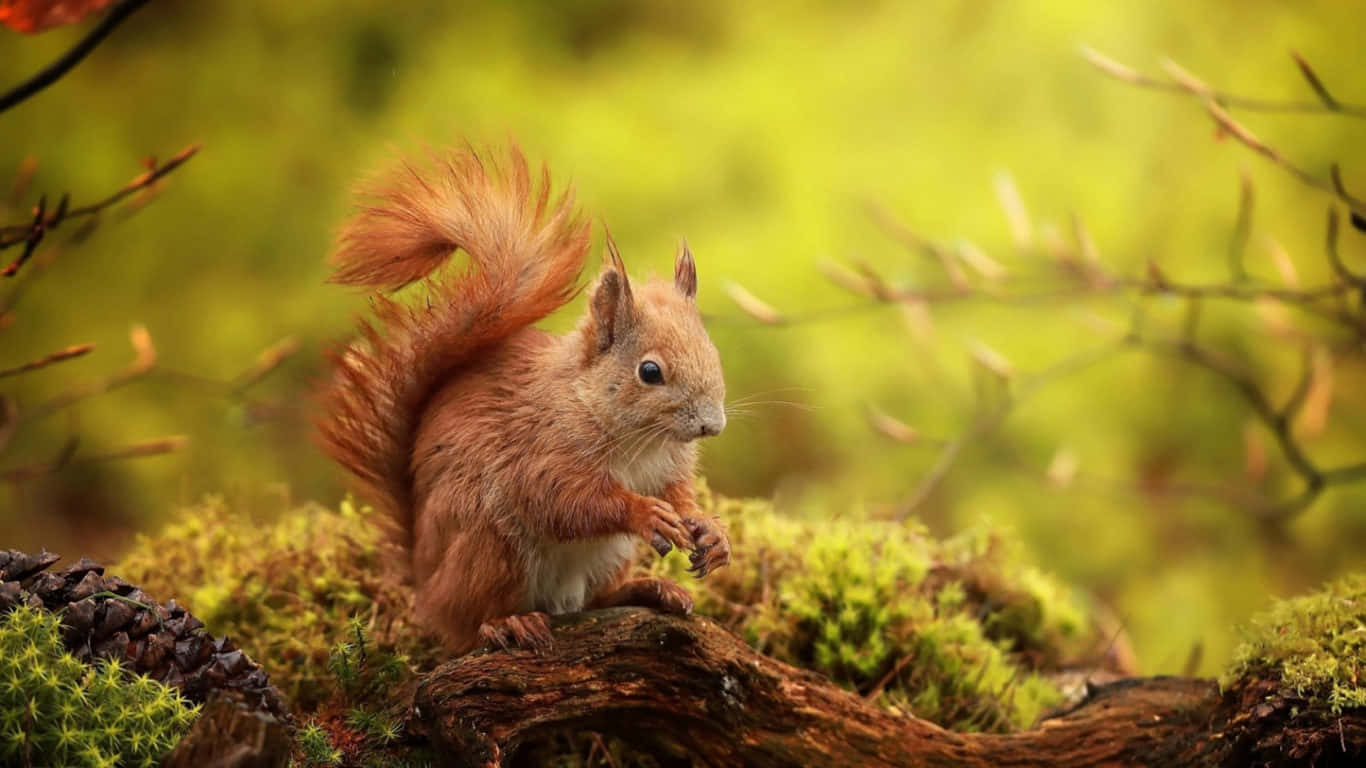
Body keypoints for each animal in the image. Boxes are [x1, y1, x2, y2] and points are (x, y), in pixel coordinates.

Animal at [315, 144, 732, 650]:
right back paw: (507, 623)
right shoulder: (541, 450)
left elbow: (680, 495)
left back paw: (650, 589)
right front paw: (644, 512)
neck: (634, 436)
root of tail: (423, 580)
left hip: (608, 557)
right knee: (470, 623)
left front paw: (709, 530)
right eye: (649, 371)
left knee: (595, 598)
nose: (712, 425)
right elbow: (563, 500)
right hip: (490, 545)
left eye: (712, 350)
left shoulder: (667, 466)